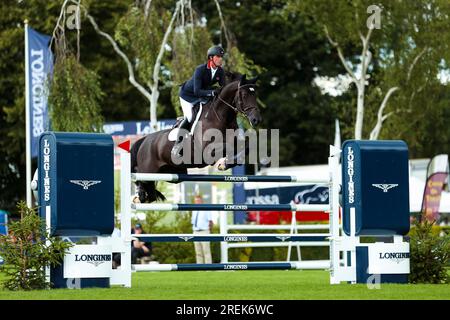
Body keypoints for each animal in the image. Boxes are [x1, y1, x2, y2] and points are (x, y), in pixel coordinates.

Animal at [130, 73, 262, 201]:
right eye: (244, 95)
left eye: (255, 95)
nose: (256, 120)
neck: (221, 118)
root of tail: (144, 140)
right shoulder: (207, 151)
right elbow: (227, 148)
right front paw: (224, 164)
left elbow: (246, 146)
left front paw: (229, 163)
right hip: (148, 170)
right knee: (140, 179)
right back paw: (138, 196)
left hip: (172, 174)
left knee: (151, 192)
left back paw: (141, 197)